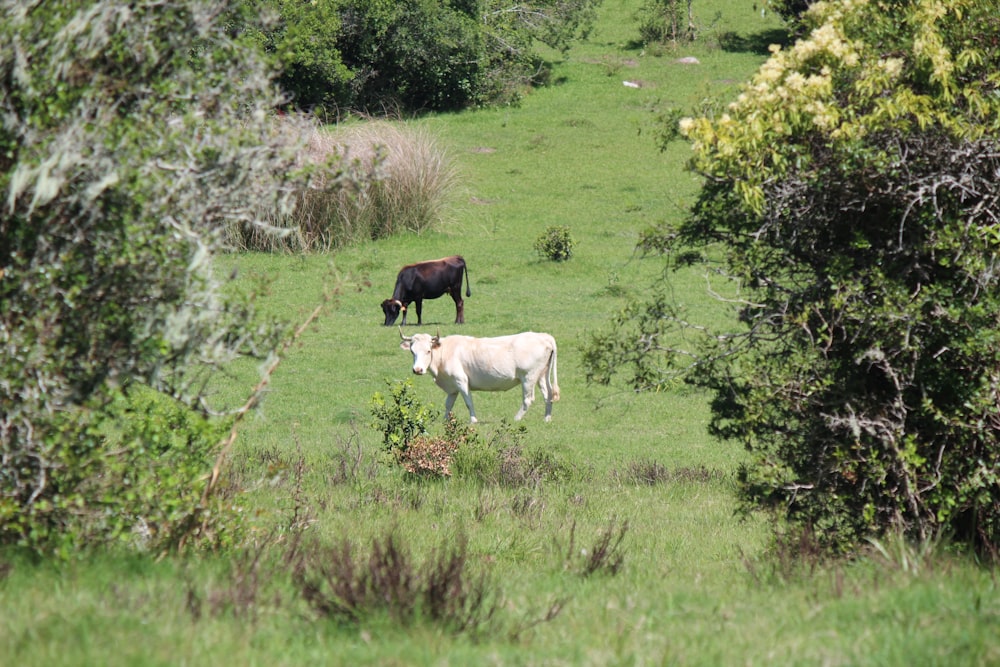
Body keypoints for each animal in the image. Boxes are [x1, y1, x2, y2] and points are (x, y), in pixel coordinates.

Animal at [398, 328, 560, 422]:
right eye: (412, 351)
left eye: (428, 351)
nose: (417, 369)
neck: (445, 352)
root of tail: (543, 336)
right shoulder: (452, 386)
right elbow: (448, 404)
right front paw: (444, 420)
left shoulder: (461, 380)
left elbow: (468, 402)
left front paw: (474, 421)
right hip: (541, 375)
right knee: (548, 395)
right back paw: (547, 419)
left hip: (528, 377)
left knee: (528, 399)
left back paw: (516, 419)